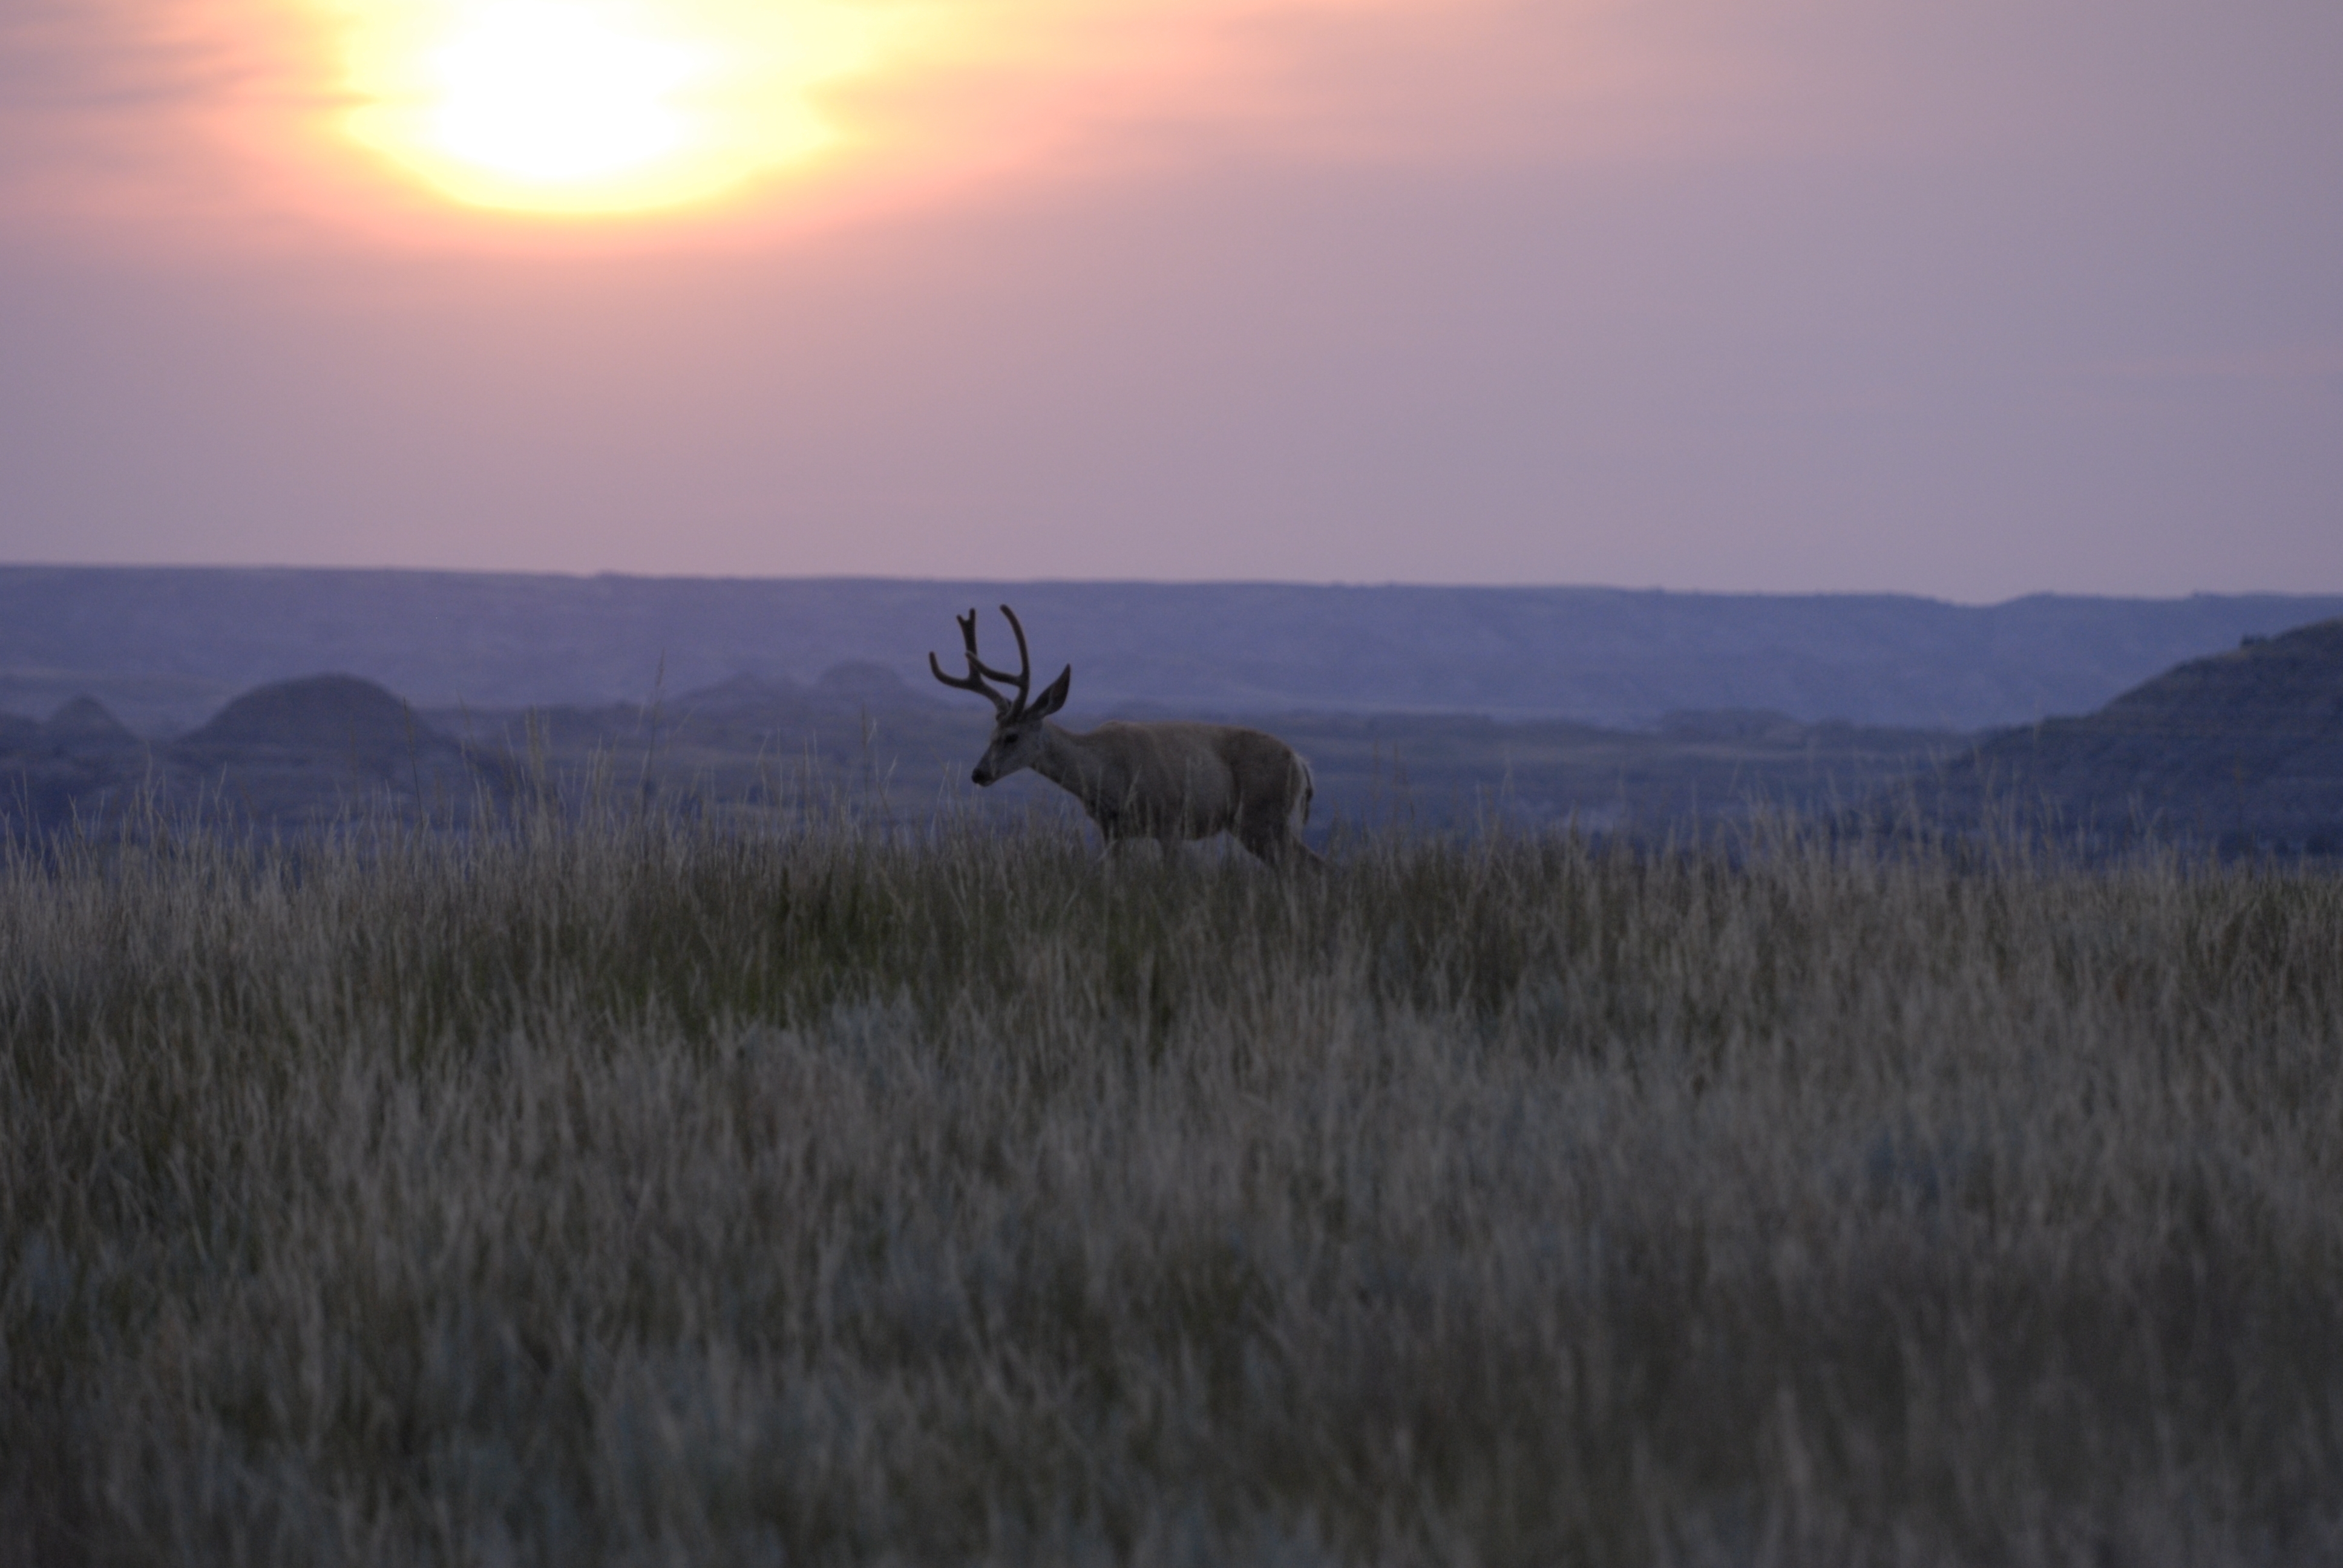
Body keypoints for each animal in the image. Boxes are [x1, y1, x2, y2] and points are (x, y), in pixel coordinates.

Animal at [930, 605, 1322, 867]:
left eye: (1011, 736)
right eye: (990, 733)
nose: (979, 773)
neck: (1107, 774)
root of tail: (1302, 765)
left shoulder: (1169, 821)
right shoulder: (1112, 831)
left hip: (1263, 817)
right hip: (1260, 825)